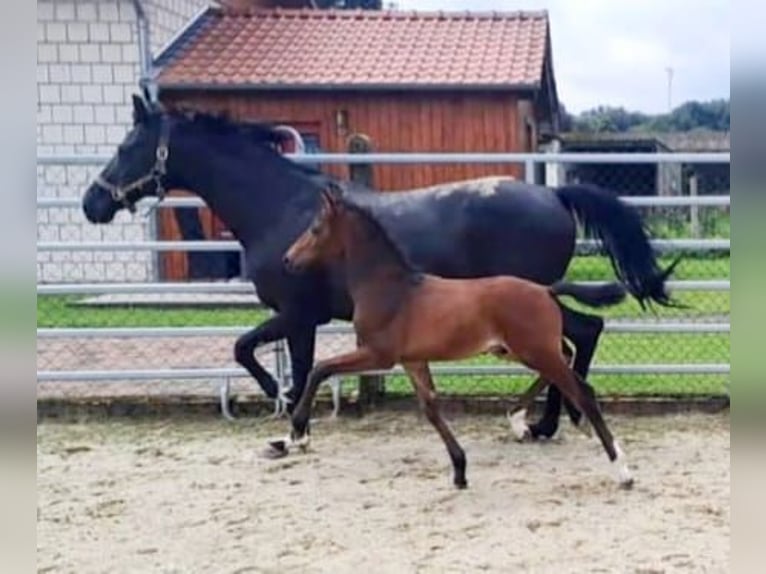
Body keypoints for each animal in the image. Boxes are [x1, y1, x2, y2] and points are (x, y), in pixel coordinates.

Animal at [282, 184, 636, 490]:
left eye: (315, 228)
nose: (288, 259)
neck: (392, 289)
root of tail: (546, 290)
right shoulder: (413, 361)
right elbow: (430, 408)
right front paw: (460, 470)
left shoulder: (377, 354)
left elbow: (320, 368)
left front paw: (298, 431)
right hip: (518, 350)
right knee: (565, 361)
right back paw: (519, 419)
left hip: (533, 350)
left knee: (583, 390)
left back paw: (622, 470)